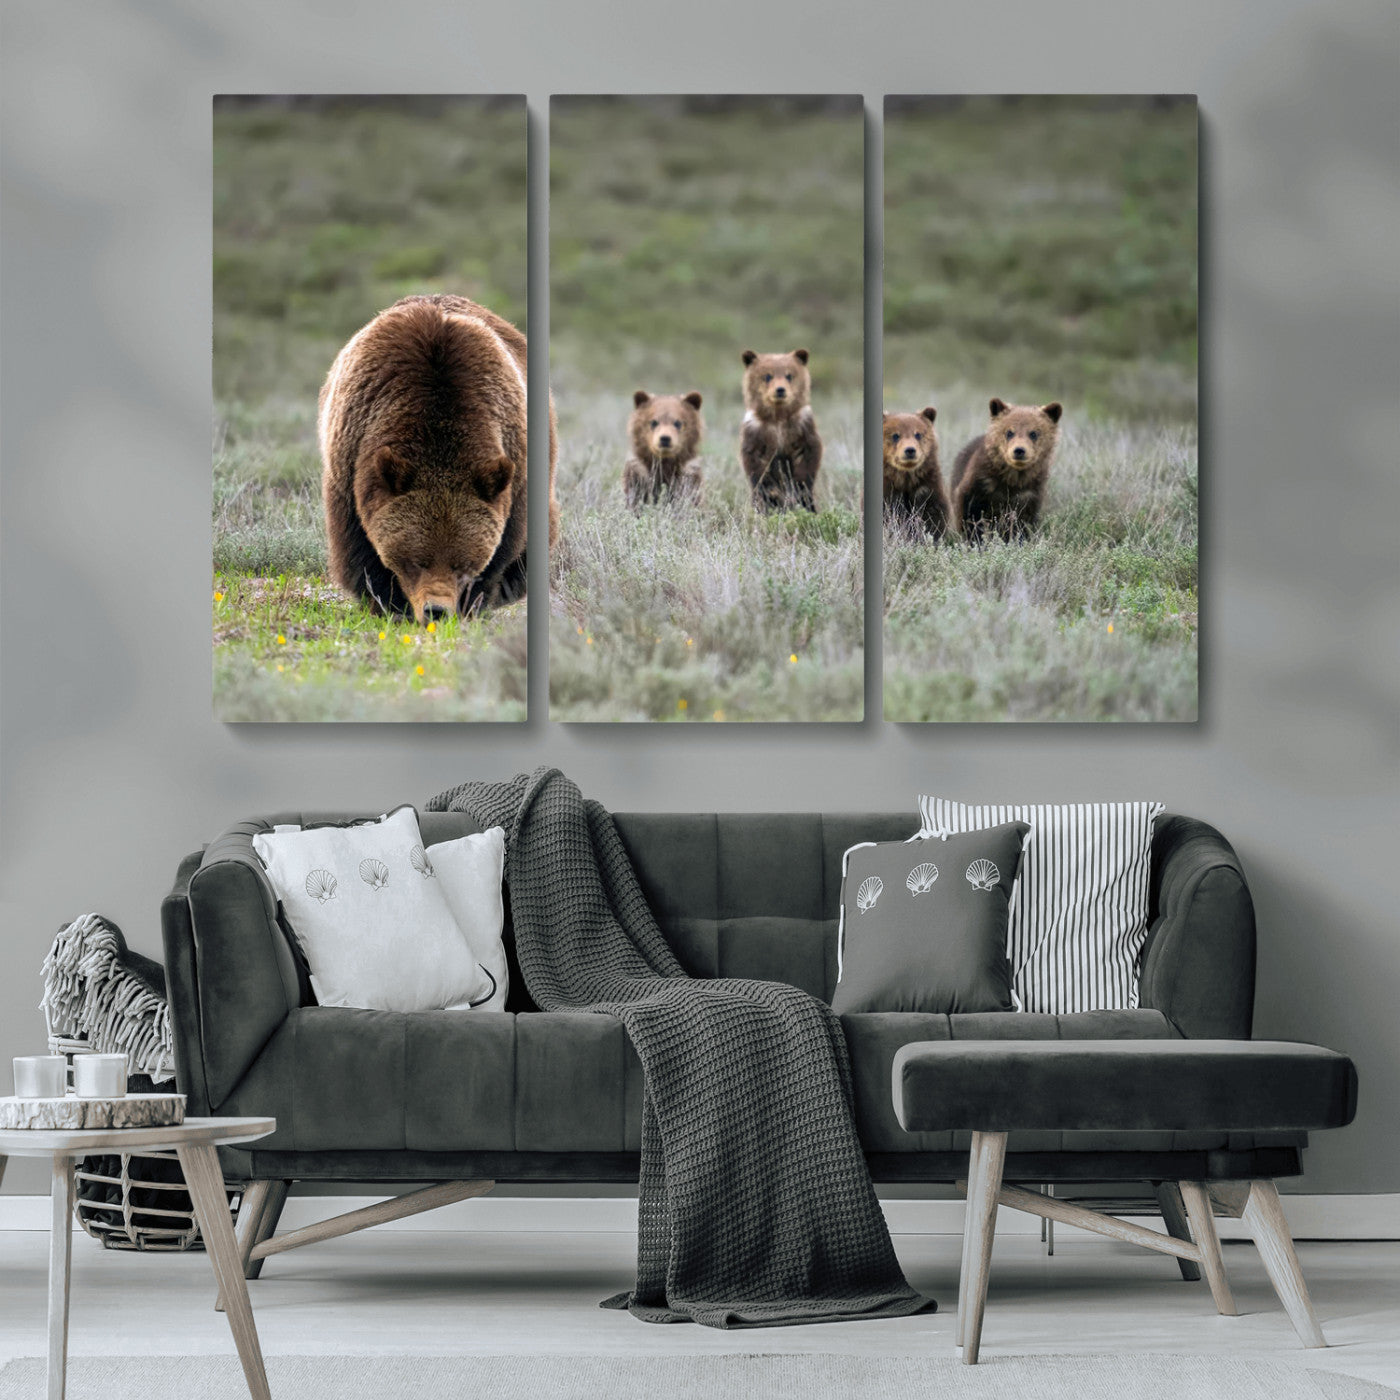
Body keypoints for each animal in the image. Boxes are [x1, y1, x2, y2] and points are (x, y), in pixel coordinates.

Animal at [319, 293, 559, 623]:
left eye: (462, 563)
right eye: (416, 560)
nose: (436, 610)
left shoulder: (514, 470)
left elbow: (502, 550)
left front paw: (472, 603)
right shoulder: (351, 461)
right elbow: (360, 549)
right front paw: (388, 603)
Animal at [739, 348, 822, 512]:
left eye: (789, 375)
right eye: (767, 375)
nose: (780, 390)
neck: (778, 419)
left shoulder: (802, 426)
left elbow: (808, 456)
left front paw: (799, 488)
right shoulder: (756, 431)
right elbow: (755, 465)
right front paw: (771, 493)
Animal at [882, 407, 953, 539]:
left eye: (918, 434)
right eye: (895, 435)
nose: (910, 450)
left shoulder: (927, 487)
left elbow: (932, 518)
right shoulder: (888, 490)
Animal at [950, 398, 1062, 541]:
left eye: (1033, 433)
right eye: (1009, 432)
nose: (1019, 450)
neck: (1012, 479)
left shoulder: (1029, 493)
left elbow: (1024, 521)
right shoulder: (980, 484)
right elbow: (969, 513)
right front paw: (974, 539)